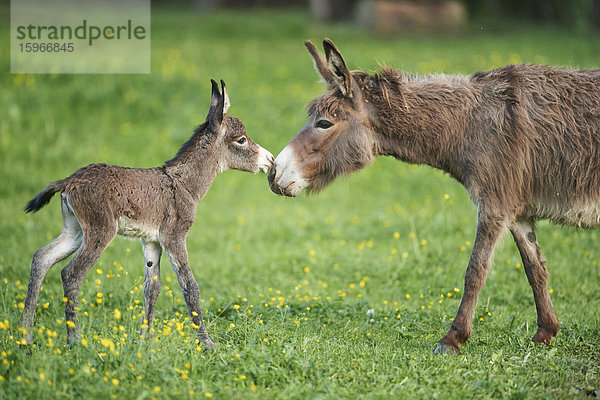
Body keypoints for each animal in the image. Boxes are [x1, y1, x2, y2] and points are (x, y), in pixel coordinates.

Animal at [20, 79, 274, 348]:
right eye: (242, 140)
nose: (270, 159)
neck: (183, 184)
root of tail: (69, 181)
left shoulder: (152, 240)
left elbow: (152, 287)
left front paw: (146, 341)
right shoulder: (174, 237)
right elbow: (190, 286)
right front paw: (207, 344)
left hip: (75, 231)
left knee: (41, 258)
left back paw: (25, 336)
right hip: (101, 230)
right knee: (71, 273)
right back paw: (74, 340)